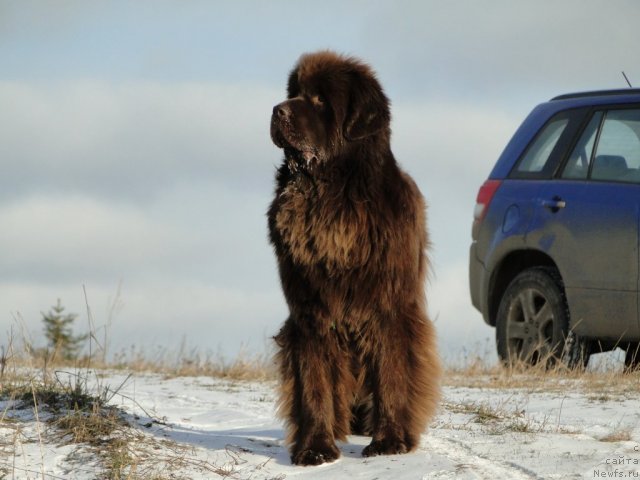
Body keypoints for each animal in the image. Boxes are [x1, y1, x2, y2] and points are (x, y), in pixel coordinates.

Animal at [266, 51, 440, 464]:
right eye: (293, 93)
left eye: (319, 101)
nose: (277, 110)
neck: (331, 199)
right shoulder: (309, 310)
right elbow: (313, 381)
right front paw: (314, 448)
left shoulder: (388, 307)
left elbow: (392, 373)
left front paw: (390, 442)